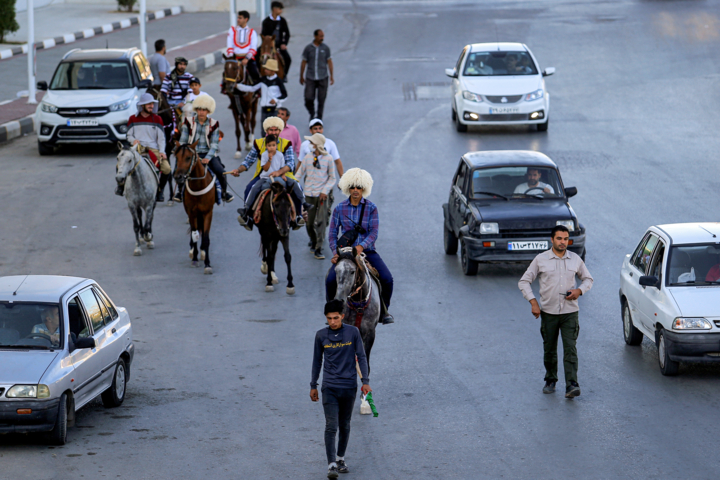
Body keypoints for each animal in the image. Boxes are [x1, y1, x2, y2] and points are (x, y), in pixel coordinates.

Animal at [173, 139, 215, 274]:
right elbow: (194, 234)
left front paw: (207, 264)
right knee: (193, 231)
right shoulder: (191, 213)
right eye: (176, 157)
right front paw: (195, 258)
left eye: (188, 157)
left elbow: (206, 238)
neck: (198, 185)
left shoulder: (207, 212)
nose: (178, 177)